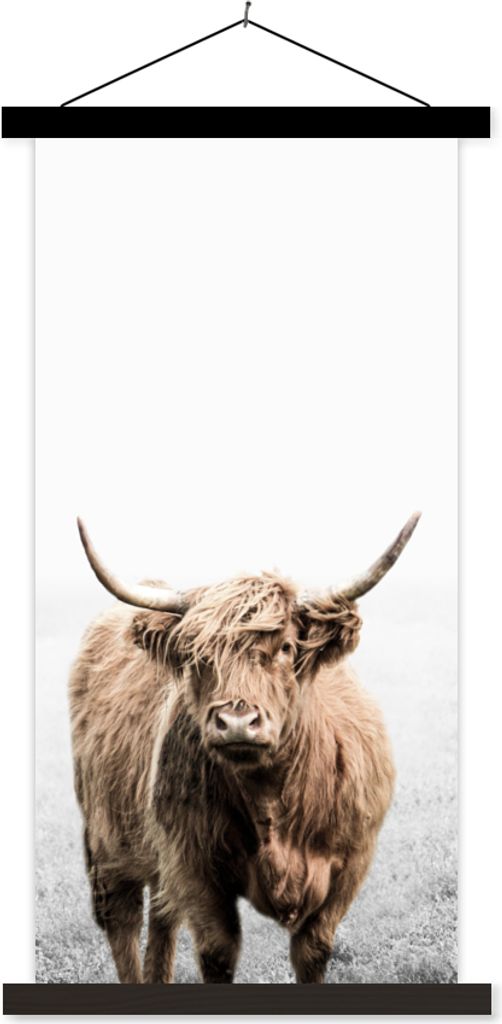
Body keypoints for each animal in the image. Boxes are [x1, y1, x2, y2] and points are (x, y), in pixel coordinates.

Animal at [69, 513, 420, 984]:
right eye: (198, 656)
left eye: (286, 647)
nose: (237, 721)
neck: (272, 798)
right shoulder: (195, 868)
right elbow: (217, 954)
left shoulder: (350, 865)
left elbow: (313, 952)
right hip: (106, 839)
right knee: (121, 919)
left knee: (162, 916)